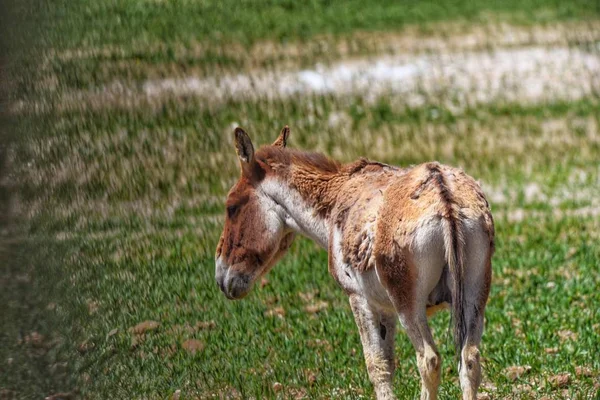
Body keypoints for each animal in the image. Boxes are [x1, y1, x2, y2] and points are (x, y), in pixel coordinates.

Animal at [214, 126, 492, 398]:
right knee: (469, 360)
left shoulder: (359, 298)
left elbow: (376, 367)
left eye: (231, 207)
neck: (336, 199)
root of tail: (443, 194)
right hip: (474, 296)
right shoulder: (385, 308)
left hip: (409, 305)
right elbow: (389, 365)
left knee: (429, 360)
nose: (221, 278)